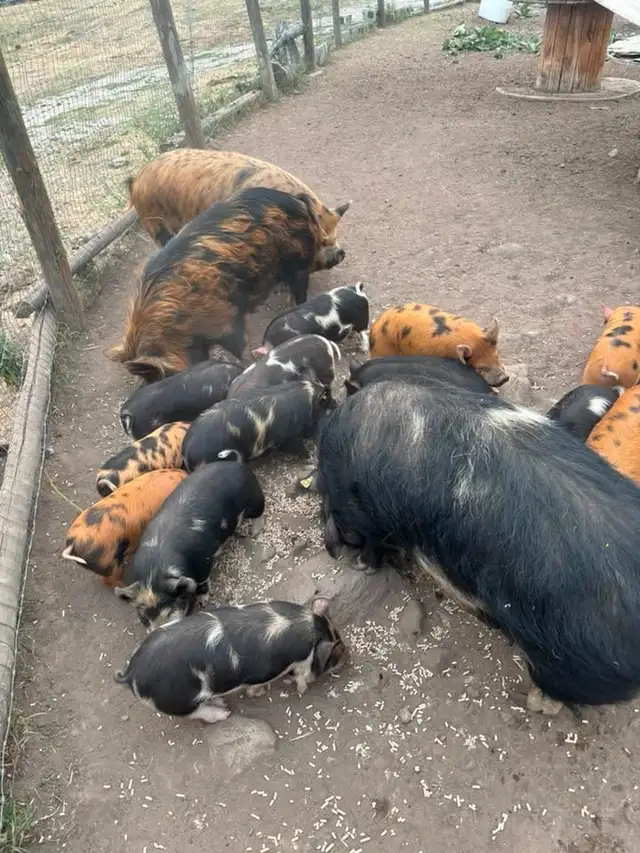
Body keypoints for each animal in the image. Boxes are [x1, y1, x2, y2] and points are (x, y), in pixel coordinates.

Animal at [105, 187, 346, 383]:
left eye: (161, 377)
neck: (180, 322)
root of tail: (297, 200)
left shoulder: (226, 318)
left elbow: (240, 346)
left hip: (298, 261)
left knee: (301, 288)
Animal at [114, 596, 348, 723]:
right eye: (334, 652)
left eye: (338, 633)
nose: (348, 656)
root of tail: (130, 673)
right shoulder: (261, 673)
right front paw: (266, 692)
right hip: (178, 702)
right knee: (197, 713)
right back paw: (224, 712)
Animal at [115, 462, 265, 631]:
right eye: (144, 617)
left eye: (170, 610)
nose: (160, 628)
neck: (156, 567)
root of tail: (237, 465)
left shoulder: (202, 564)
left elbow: (202, 583)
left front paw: (203, 603)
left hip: (254, 499)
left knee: (260, 513)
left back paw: (253, 533)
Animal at [183, 380, 336, 470]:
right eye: (326, 400)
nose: (336, 403)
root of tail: (187, 452)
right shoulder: (291, 435)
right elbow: (299, 448)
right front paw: (311, 459)